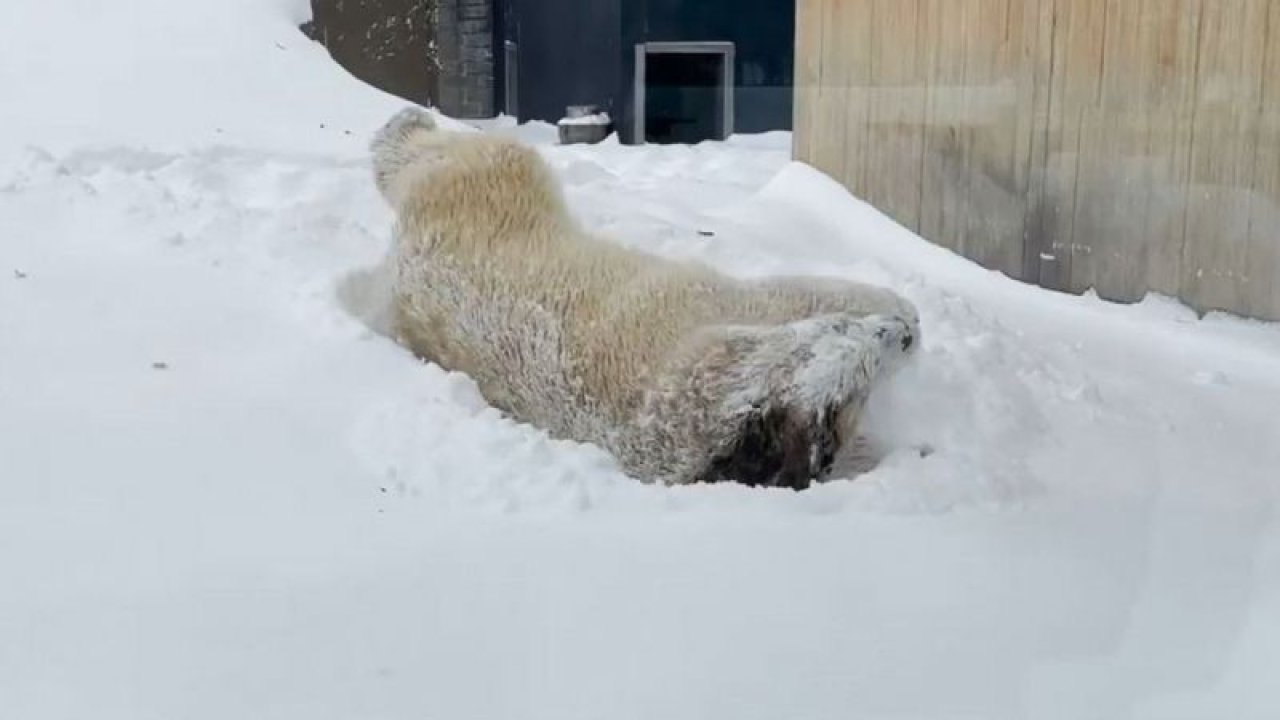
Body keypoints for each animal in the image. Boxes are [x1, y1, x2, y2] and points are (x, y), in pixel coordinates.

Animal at [371, 106, 921, 486]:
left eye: (859, 393)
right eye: (861, 363)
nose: (901, 335)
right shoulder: (695, 334)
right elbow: (772, 295)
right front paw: (899, 306)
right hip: (488, 203)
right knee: (469, 156)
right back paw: (406, 123)